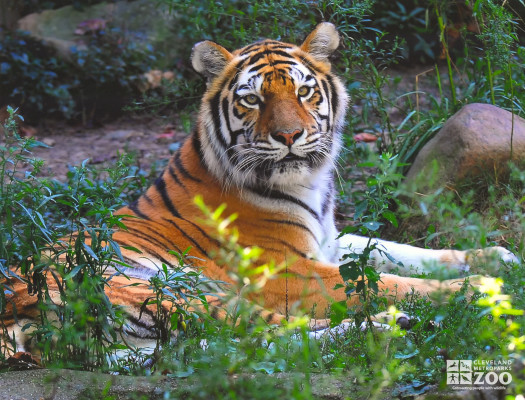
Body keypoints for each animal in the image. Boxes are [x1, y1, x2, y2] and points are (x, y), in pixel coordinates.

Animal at [1, 23, 516, 358]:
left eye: (304, 92)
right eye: (252, 99)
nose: (289, 136)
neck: (311, 184)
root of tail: (16, 313)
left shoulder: (330, 241)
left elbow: (403, 252)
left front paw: (496, 257)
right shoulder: (288, 272)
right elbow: (390, 281)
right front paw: (478, 286)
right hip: (178, 292)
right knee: (265, 335)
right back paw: (389, 326)